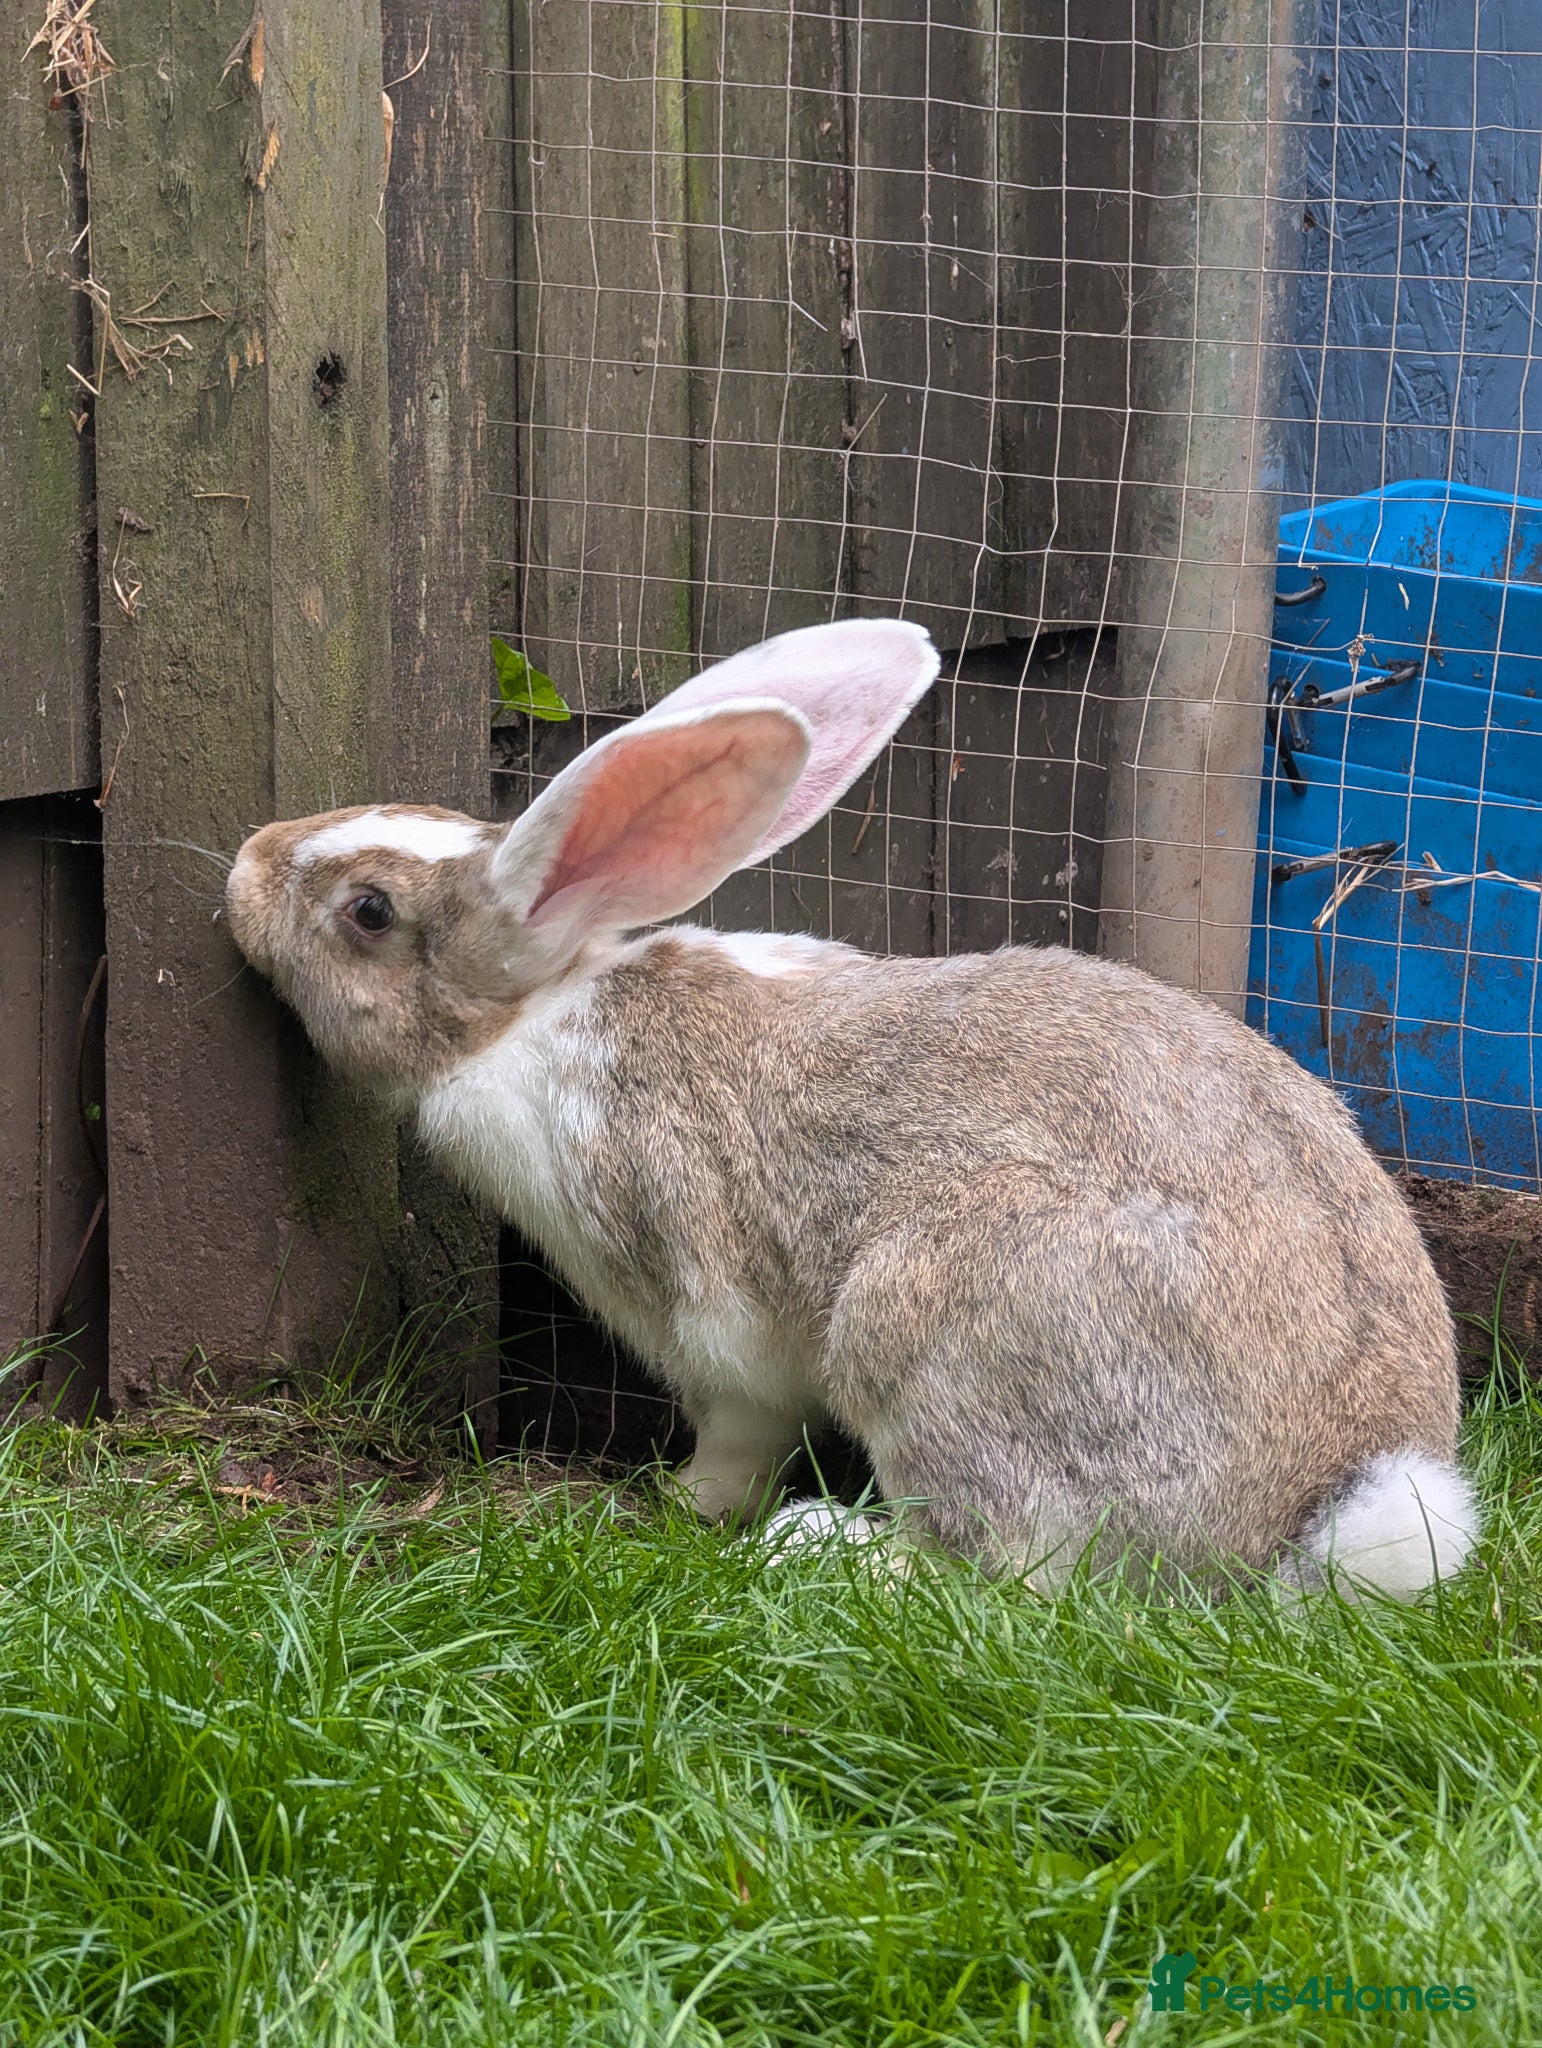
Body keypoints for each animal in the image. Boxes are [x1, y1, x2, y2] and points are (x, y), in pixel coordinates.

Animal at [225, 618, 1479, 1596]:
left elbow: (738, 1432)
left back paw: (825, 1545)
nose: (245, 863)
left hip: (917, 1327)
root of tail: (1323, 1497)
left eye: (368, 910)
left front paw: (681, 1503)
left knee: (1012, 1559)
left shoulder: (711, 1320)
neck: (530, 1017)